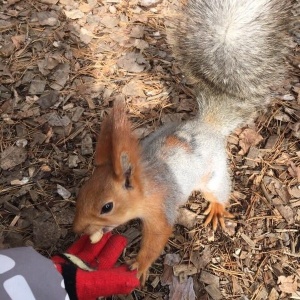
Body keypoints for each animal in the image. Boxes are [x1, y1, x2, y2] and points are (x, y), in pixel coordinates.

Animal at [72, 0, 292, 284]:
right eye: (82, 192)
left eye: (106, 207)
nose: (77, 229)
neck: (147, 184)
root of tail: (208, 126)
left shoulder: (160, 210)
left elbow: (157, 238)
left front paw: (139, 265)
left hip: (214, 176)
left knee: (219, 192)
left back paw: (216, 208)